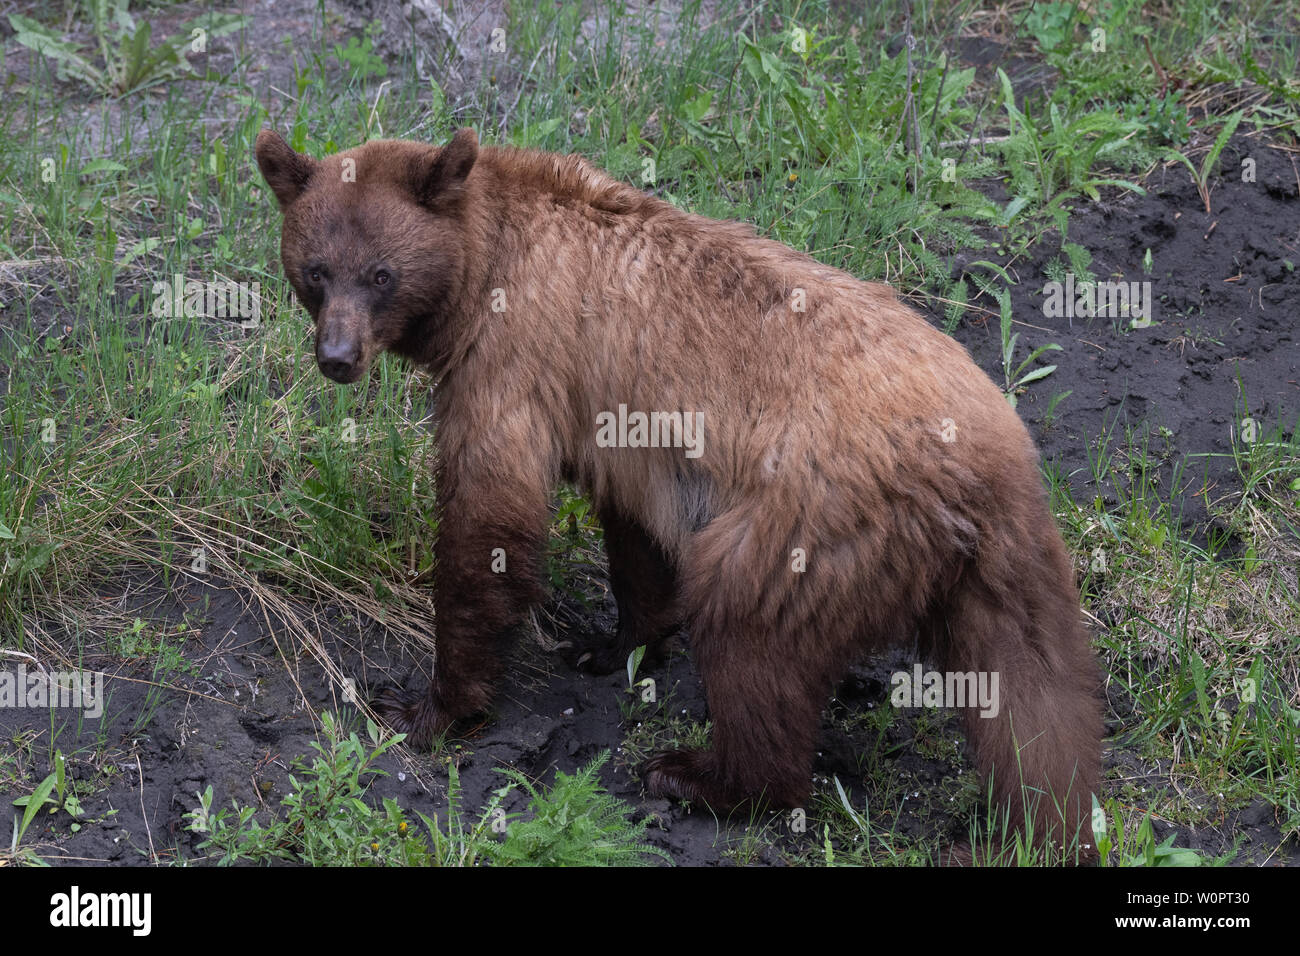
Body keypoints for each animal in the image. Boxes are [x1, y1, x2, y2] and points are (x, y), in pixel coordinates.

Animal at [255, 126, 1103, 860]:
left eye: (381, 274)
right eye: (315, 272)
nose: (337, 356)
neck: (482, 261)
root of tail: (989, 465)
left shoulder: (514, 353)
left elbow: (489, 516)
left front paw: (424, 704)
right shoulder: (622, 426)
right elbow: (633, 534)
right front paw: (611, 642)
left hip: (809, 522)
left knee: (747, 629)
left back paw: (698, 777)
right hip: (1010, 574)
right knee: (1039, 710)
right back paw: (1042, 827)